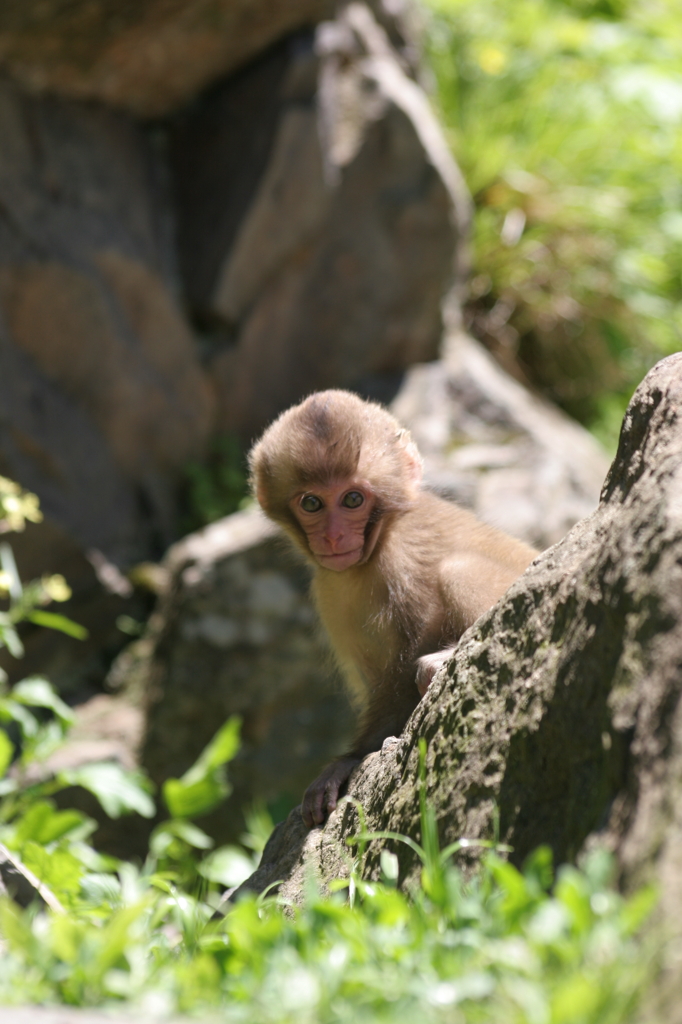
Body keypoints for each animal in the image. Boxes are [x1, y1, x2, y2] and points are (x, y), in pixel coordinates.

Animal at [245, 387, 536, 827]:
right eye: (311, 503)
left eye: (352, 499)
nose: (333, 537)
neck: (378, 543)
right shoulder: (330, 592)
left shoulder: (400, 561)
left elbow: (403, 669)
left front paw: (347, 761)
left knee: (457, 570)